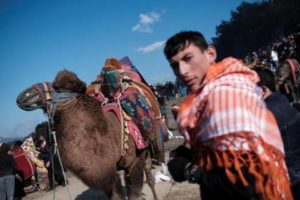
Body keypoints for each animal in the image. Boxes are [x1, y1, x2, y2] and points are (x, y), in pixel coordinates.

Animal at [16, 69, 159, 199]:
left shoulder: (133, 162)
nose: (25, 95)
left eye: (57, 87)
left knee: (150, 178)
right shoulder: (107, 178)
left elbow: (134, 194)